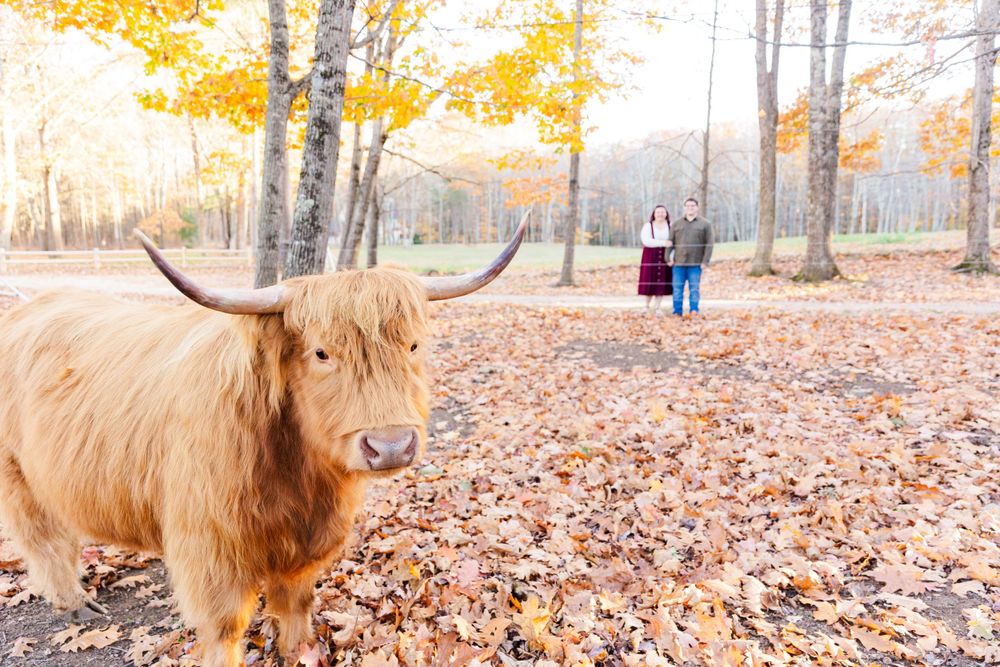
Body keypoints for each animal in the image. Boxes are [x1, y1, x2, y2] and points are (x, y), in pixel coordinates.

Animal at [0, 212, 528, 667]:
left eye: (413, 345)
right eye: (321, 353)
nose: (392, 445)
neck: (297, 473)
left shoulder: (309, 542)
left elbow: (295, 606)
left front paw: (296, 653)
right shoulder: (210, 548)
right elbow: (224, 628)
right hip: (18, 476)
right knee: (45, 540)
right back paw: (73, 602)